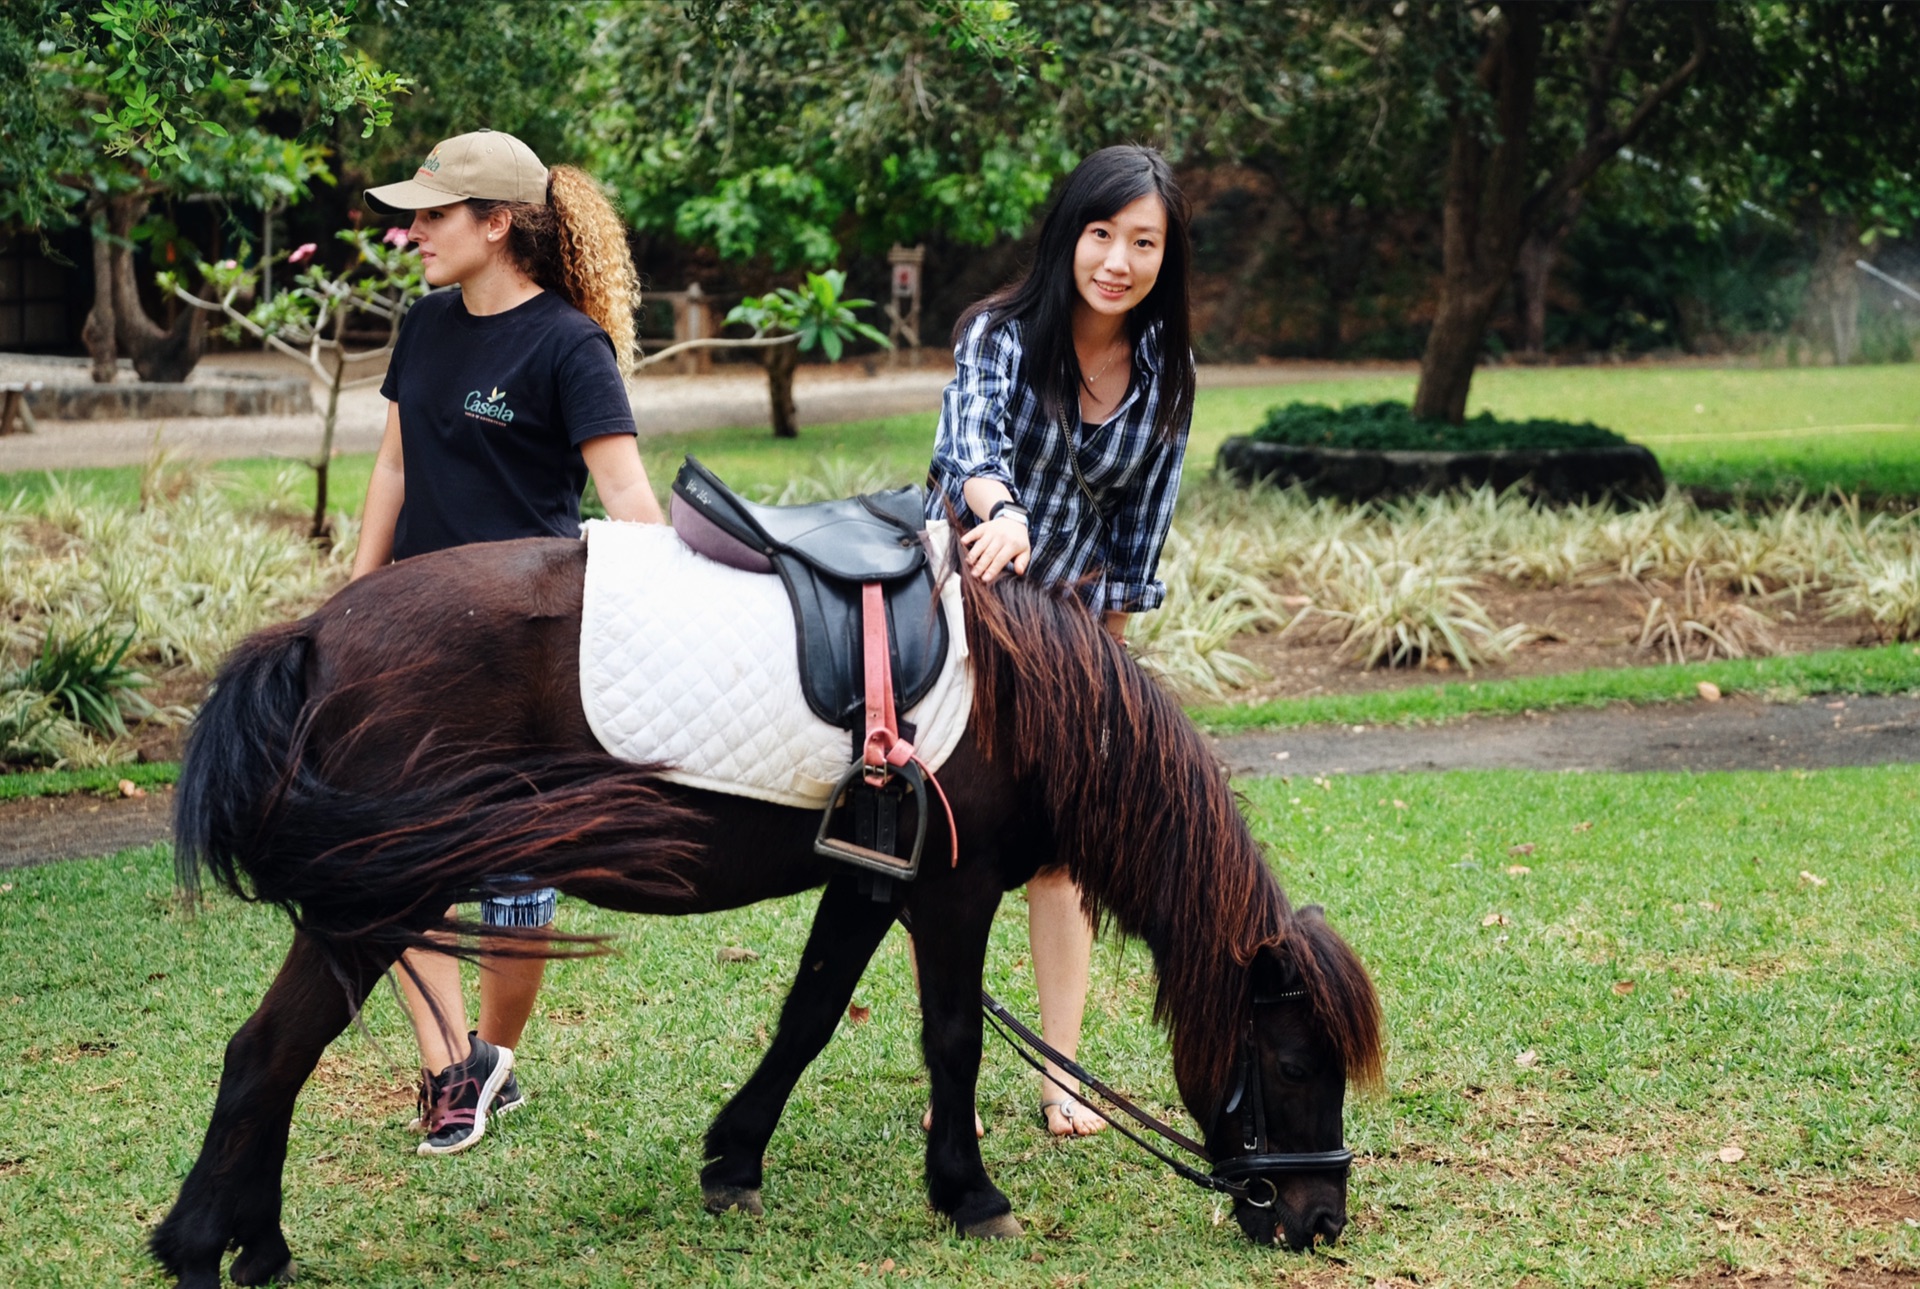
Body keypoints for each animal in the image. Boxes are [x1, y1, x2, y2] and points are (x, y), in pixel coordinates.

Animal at [149, 537, 1382, 1289]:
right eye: (1295, 1061)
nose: (1320, 1216)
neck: (1023, 701)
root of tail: (313, 636)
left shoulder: (871, 882)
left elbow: (808, 1015)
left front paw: (733, 1161)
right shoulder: (951, 889)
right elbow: (952, 1037)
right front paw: (969, 1191)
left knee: (274, 1055)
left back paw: (253, 1240)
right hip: (377, 900)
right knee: (266, 1054)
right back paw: (200, 1242)